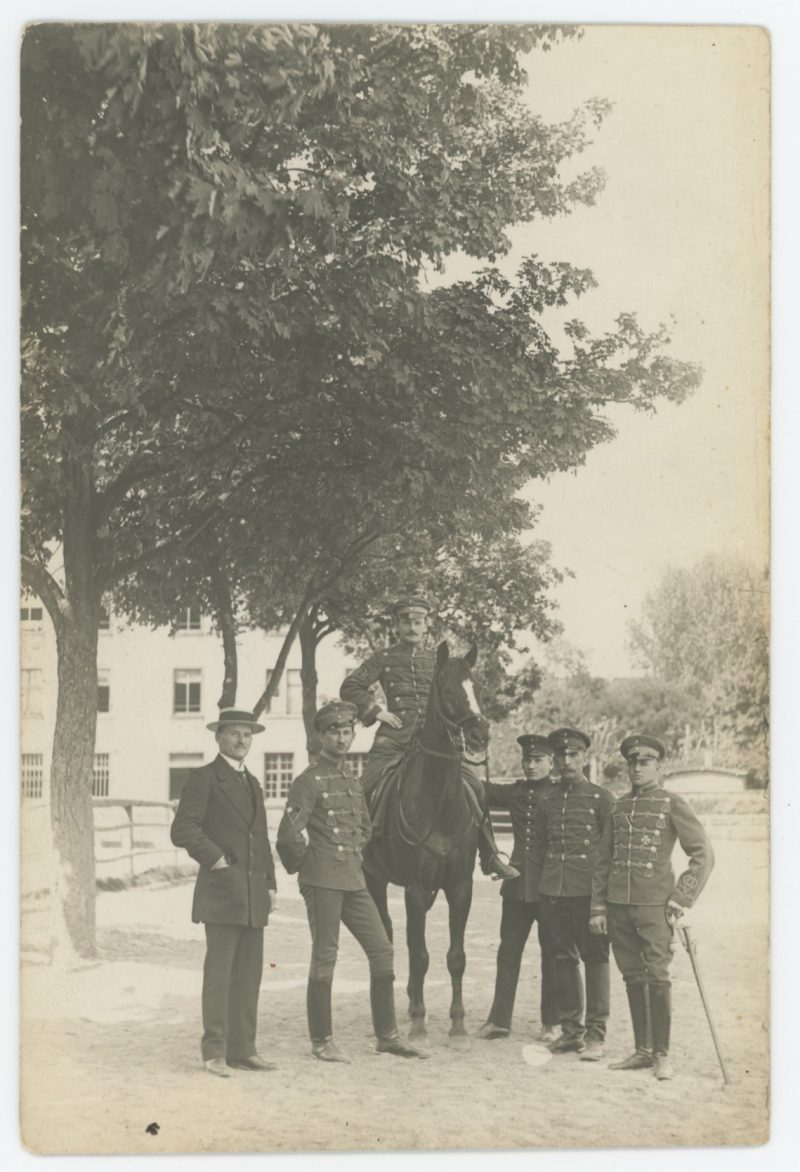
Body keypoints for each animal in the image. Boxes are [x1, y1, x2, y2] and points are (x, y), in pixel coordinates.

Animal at [363, 642, 487, 1045]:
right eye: (448, 690)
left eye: (475, 688)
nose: (480, 736)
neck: (439, 802)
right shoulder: (415, 887)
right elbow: (420, 956)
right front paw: (418, 1021)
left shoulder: (460, 887)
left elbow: (455, 956)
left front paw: (457, 1023)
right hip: (374, 880)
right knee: (389, 936)